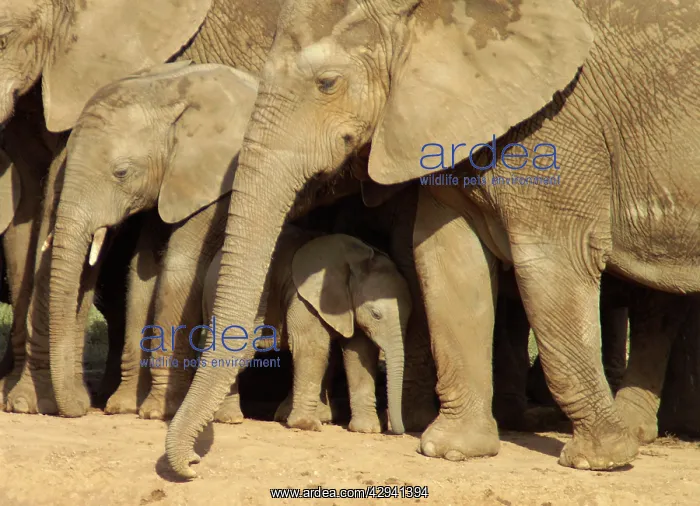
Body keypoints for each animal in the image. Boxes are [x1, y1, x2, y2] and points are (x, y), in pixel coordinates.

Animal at [203, 227, 411, 434]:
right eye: (376, 314)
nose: (396, 430)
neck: (356, 258)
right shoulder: (303, 295)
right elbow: (311, 346)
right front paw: (306, 425)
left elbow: (361, 352)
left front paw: (367, 429)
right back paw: (230, 418)